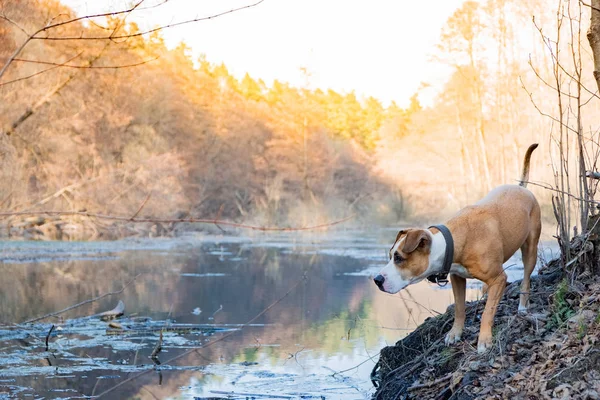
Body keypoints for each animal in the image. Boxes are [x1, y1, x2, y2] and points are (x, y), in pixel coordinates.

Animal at [372, 144, 540, 354]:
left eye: (399, 258)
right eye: (390, 256)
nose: (377, 280)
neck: (450, 241)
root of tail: (520, 187)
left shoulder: (499, 278)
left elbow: (488, 312)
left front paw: (484, 340)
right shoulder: (457, 277)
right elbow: (460, 308)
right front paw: (455, 333)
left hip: (531, 248)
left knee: (526, 278)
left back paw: (523, 307)